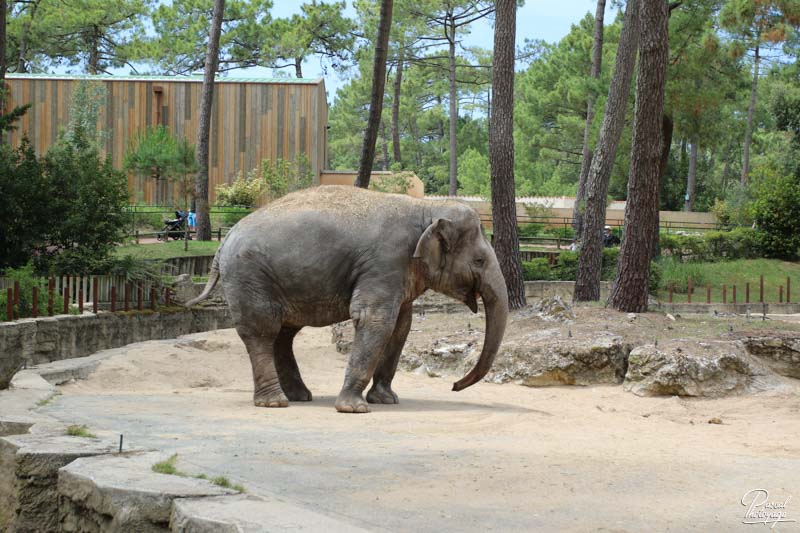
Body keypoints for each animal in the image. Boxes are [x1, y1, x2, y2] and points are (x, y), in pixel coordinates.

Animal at [188, 185, 506, 414]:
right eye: (479, 261)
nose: (454, 385)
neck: (424, 208)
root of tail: (222, 243)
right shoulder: (384, 262)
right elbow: (375, 320)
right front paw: (354, 409)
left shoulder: (397, 272)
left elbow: (401, 326)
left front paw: (386, 400)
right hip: (249, 278)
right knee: (263, 331)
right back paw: (275, 403)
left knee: (283, 334)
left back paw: (299, 396)